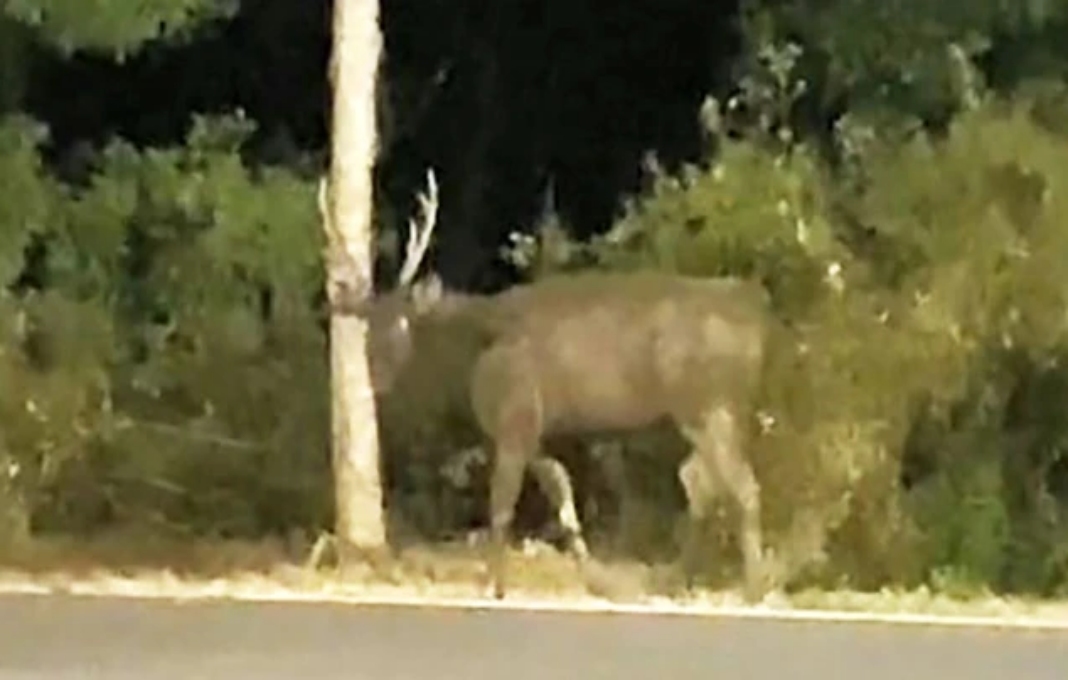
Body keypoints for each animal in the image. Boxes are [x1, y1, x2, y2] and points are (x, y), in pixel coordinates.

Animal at [325, 171, 777, 602]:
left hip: (707, 403)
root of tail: (755, 314)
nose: (376, 377)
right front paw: (596, 581)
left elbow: (501, 506)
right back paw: (676, 580)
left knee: (739, 485)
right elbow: (563, 499)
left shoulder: (514, 417)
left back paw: (752, 587)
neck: (469, 354)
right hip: (709, 409)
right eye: (366, 330)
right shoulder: (539, 431)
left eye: (402, 325)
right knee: (702, 482)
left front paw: (496, 586)